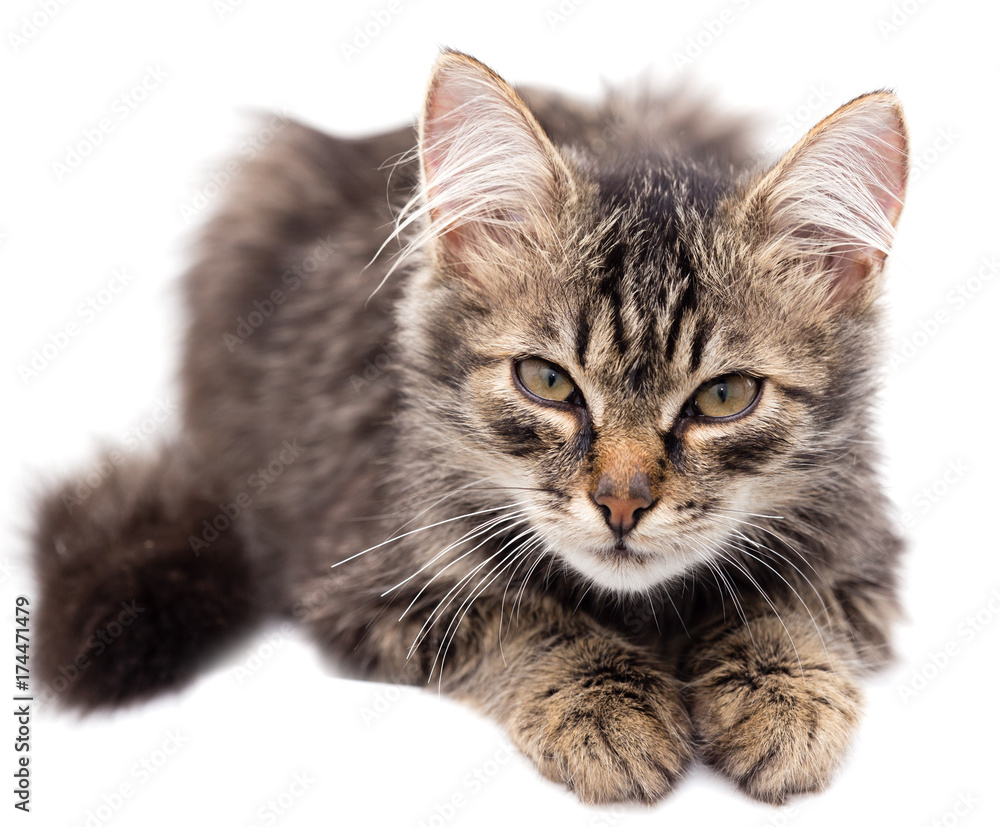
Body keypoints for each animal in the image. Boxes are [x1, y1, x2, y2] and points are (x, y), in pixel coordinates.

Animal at [31, 48, 908, 804]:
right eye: (547, 381)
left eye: (724, 397)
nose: (621, 503)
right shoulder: (362, 583)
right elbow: (530, 620)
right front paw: (611, 708)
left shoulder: (862, 561)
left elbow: (788, 608)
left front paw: (782, 699)